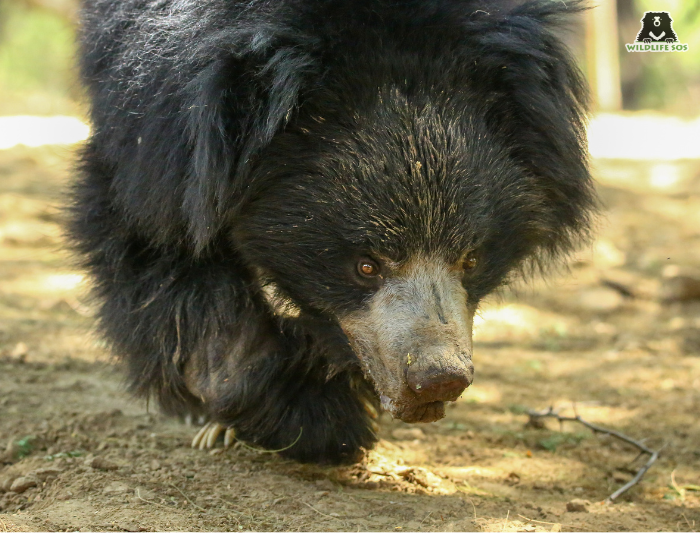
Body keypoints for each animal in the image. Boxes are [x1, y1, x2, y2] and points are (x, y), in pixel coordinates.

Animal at [69, 0, 596, 462]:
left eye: (470, 260)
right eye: (365, 265)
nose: (438, 380)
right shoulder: (156, 126)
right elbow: (154, 239)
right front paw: (312, 418)